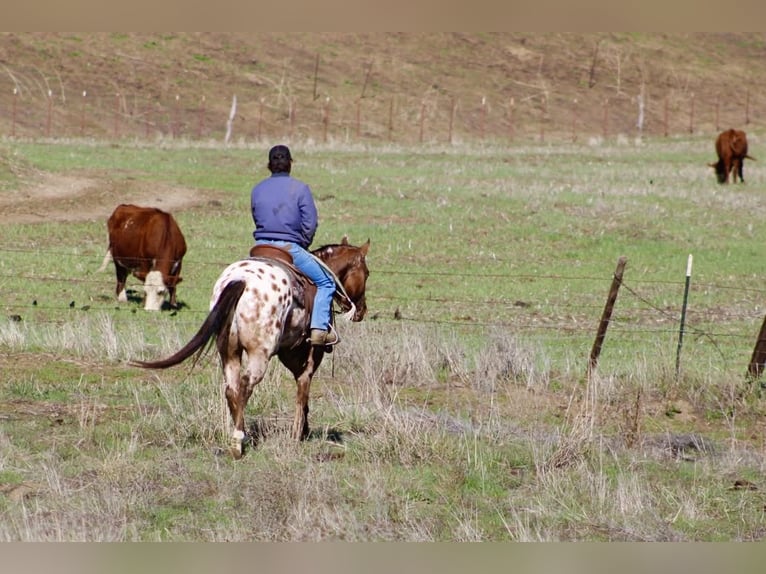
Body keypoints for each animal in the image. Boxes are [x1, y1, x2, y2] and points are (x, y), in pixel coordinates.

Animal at [132, 236, 370, 459]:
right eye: (367, 273)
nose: (361, 311)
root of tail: (241, 280)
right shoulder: (309, 352)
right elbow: (303, 388)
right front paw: (298, 433)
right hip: (259, 353)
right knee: (246, 385)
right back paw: (238, 441)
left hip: (228, 351)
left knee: (232, 388)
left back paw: (240, 435)